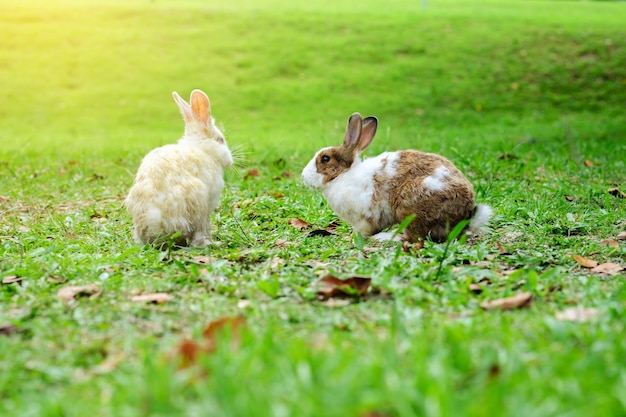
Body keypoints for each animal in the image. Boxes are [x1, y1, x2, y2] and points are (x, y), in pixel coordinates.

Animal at [122, 90, 232, 247]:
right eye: (220, 140)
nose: (230, 161)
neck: (202, 148)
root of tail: (153, 223)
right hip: (199, 202)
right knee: (198, 235)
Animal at [300, 112, 490, 242]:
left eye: (325, 159)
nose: (304, 176)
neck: (343, 175)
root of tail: (464, 218)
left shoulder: (365, 218)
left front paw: (352, 237)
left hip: (409, 205)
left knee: (414, 236)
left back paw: (386, 237)